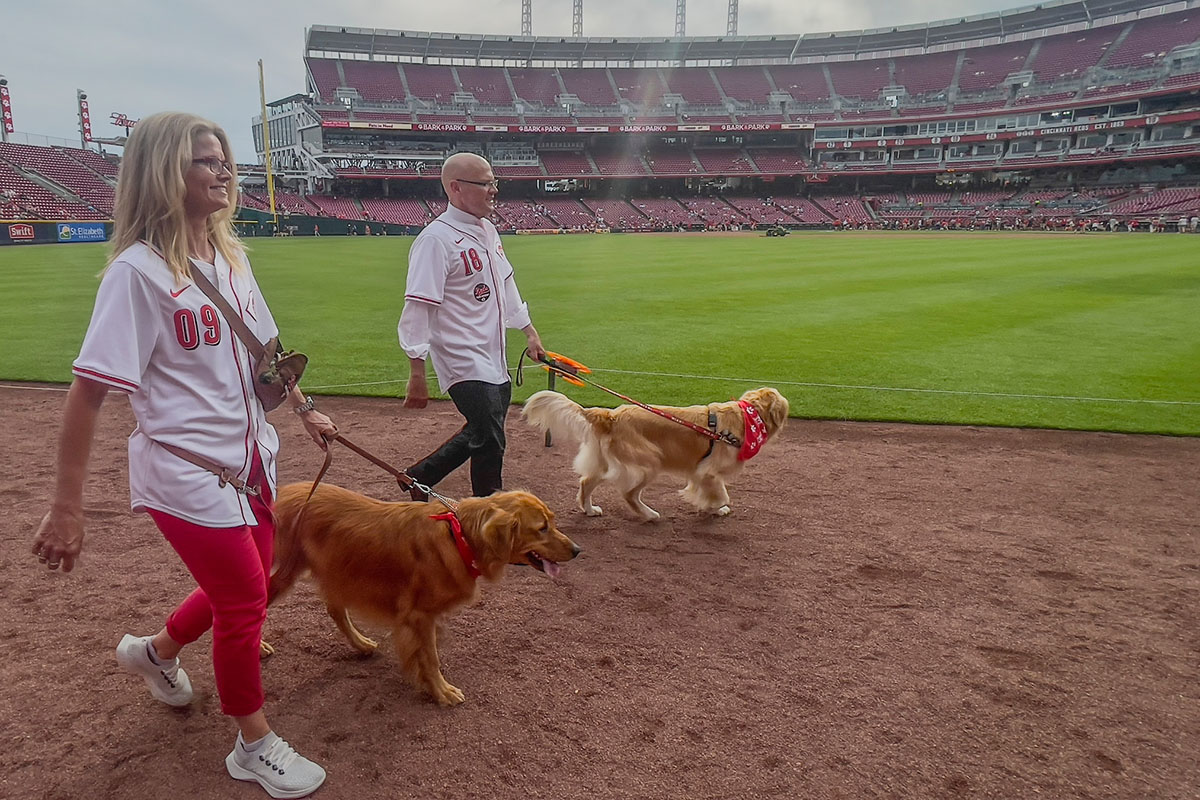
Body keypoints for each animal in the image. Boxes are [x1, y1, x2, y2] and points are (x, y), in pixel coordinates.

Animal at [266, 482, 580, 705]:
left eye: (552, 521)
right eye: (542, 528)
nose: (578, 550)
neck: (459, 536)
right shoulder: (419, 616)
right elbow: (431, 658)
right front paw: (442, 693)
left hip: (337, 571)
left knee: (335, 610)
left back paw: (361, 644)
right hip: (286, 572)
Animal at [523, 386, 787, 522]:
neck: (747, 417)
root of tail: (611, 415)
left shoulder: (699, 472)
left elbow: (707, 492)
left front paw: (710, 508)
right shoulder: (708, 472)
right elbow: (722, 494)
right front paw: (716, 507)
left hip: (607, 462)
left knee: (586, 482)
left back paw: (589, 510)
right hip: (649, 462)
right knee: (628, 494)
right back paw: (650, 514)